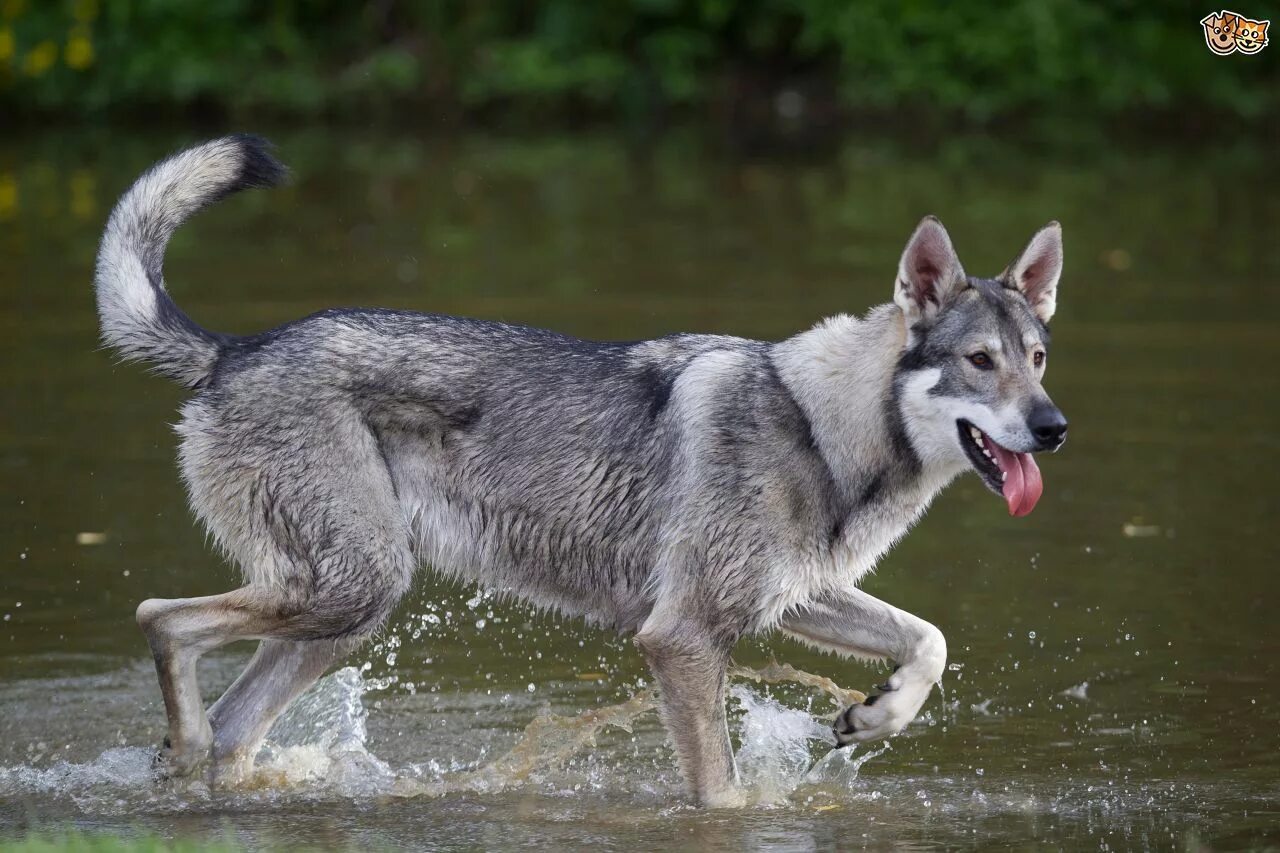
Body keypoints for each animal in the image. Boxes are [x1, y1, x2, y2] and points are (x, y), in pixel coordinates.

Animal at [94, 136, 1064, 809]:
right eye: (980, 361)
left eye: (1040, 358)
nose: (1054, 428)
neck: (821, 423)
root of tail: (232, 351)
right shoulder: (683, 637)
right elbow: (722, 794)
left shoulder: (793, 596)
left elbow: (928, 639)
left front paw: (876, 713)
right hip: (350, 589)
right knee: (159, 617)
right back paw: (179, 745)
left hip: (344, 612)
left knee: (229, 724)